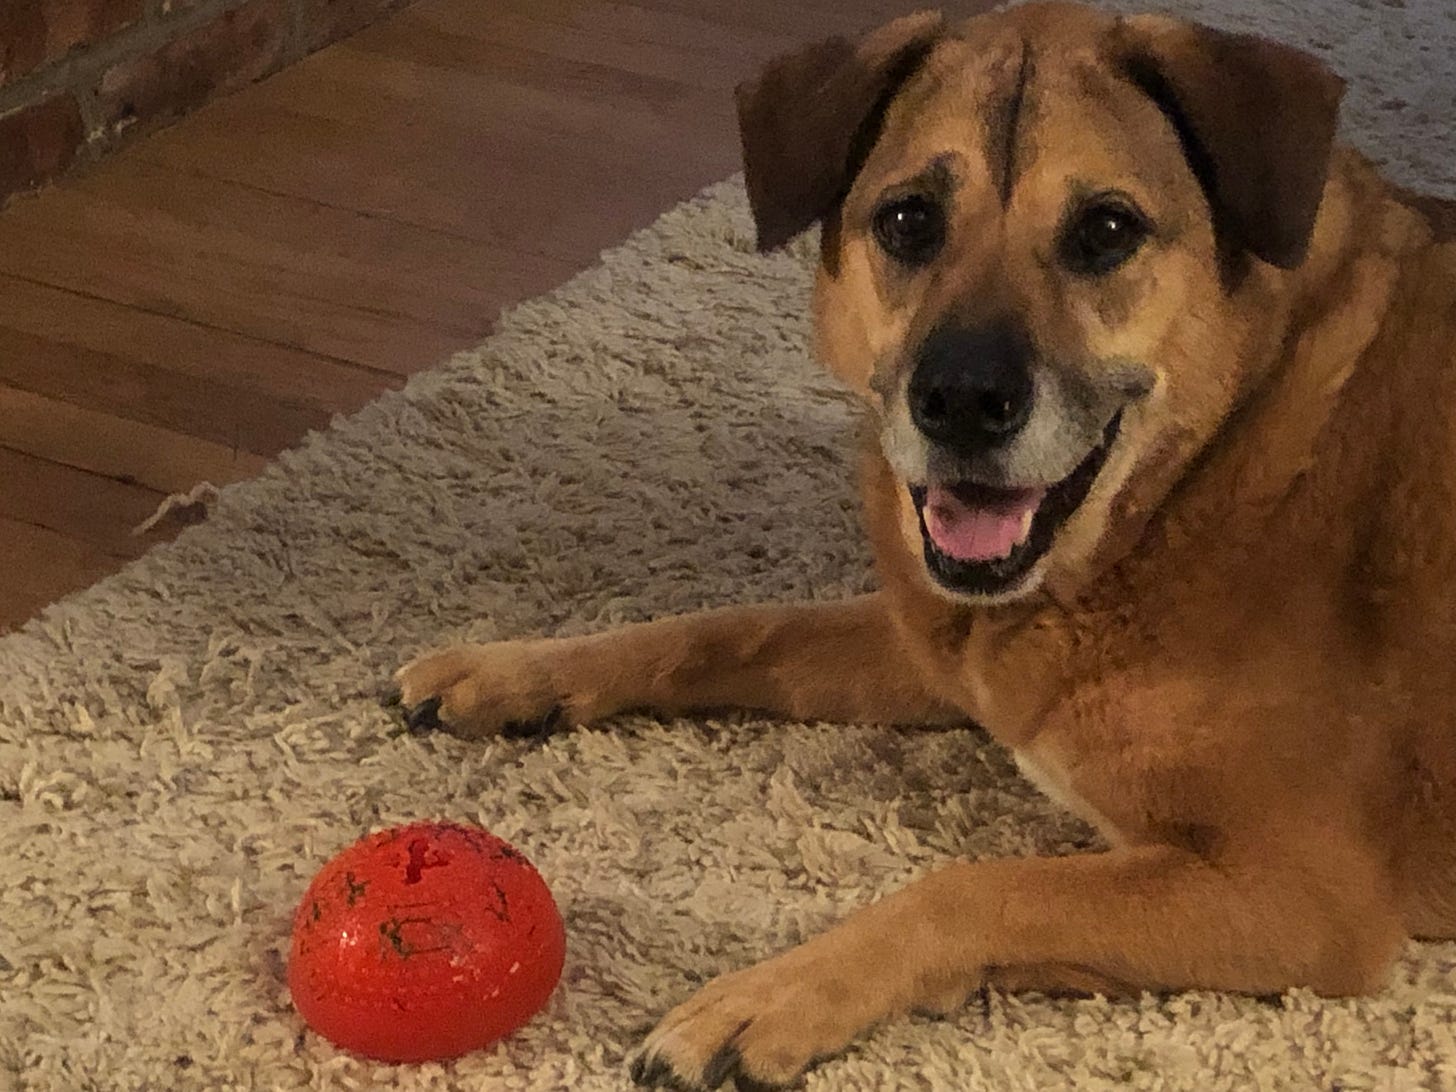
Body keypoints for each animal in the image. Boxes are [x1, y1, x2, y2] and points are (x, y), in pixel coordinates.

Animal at [392, 3, 1456, 1087]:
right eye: (908, 221)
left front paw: (768, 998)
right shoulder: (935, 647)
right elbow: (731, 626)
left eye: (1106, 230)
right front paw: (525, 669)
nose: (961, 400)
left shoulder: (1297, 896)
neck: (1198, 476)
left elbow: (977, 885)